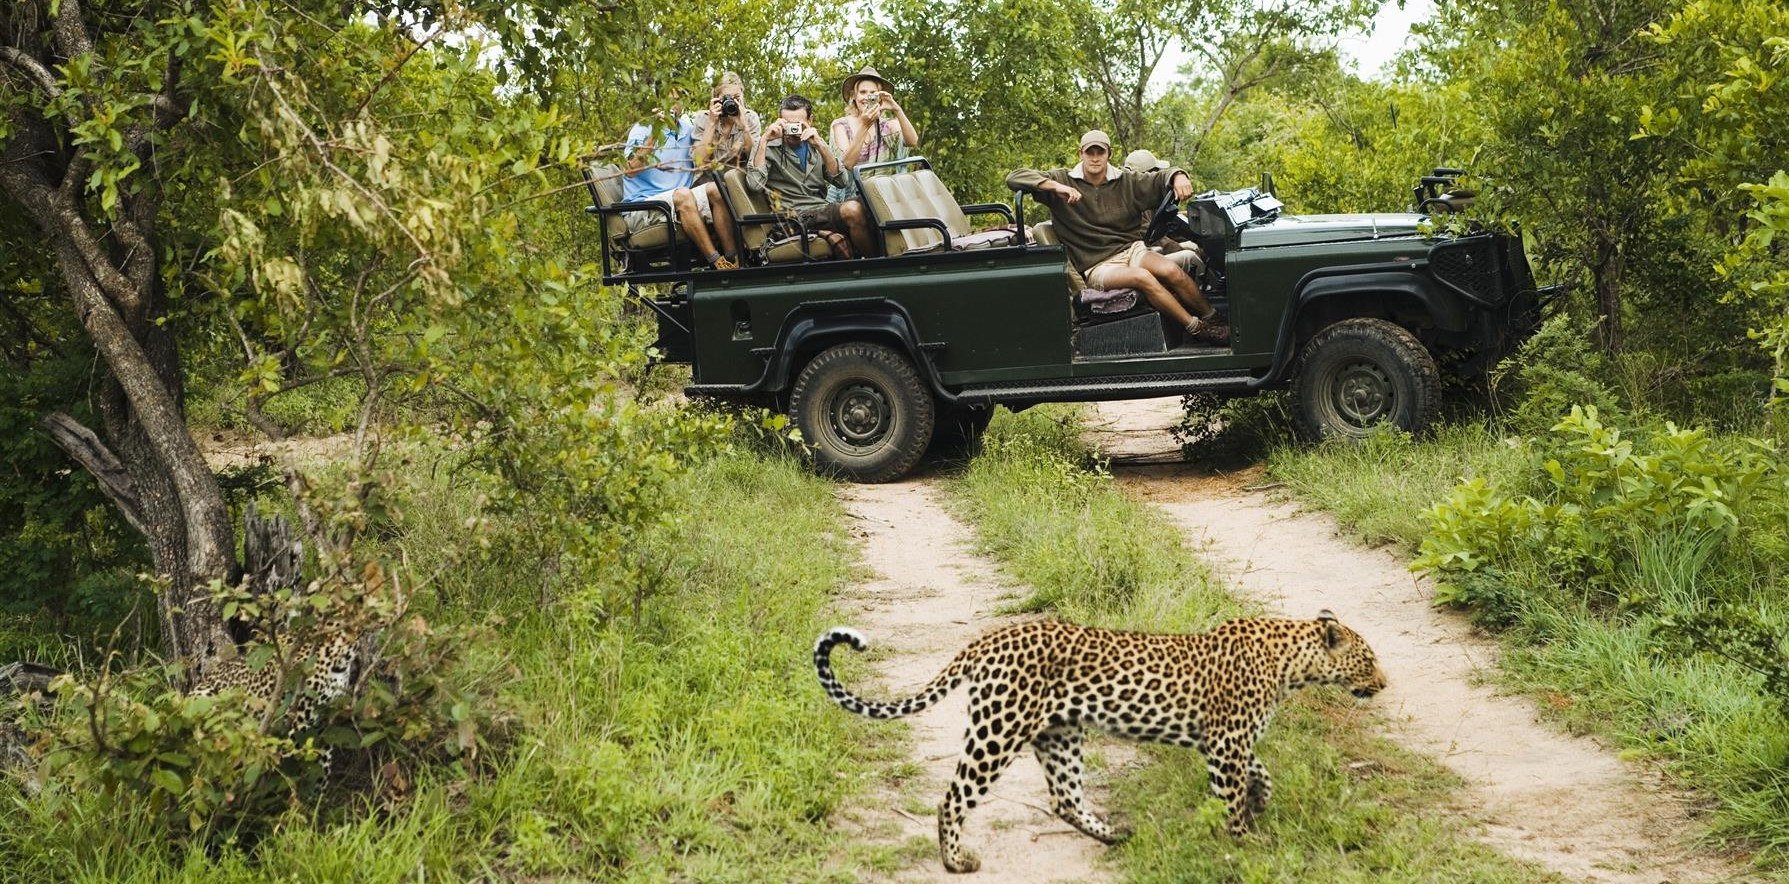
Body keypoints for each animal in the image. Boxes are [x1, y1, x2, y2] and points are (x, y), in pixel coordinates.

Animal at [819, 612, 1388, 873]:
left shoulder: (1226, 743)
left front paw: (1261, 800)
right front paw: (1245, 842)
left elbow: (1260, 769)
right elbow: (1232, 796)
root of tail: (986, 640)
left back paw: (1114, 835)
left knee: (1064, 797)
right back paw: (956, 862)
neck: (1292, 664)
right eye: (1369, 660)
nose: (1384, 684)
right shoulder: (1226, 742)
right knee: (954, 797)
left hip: (1059, 734)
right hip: (998, 730)